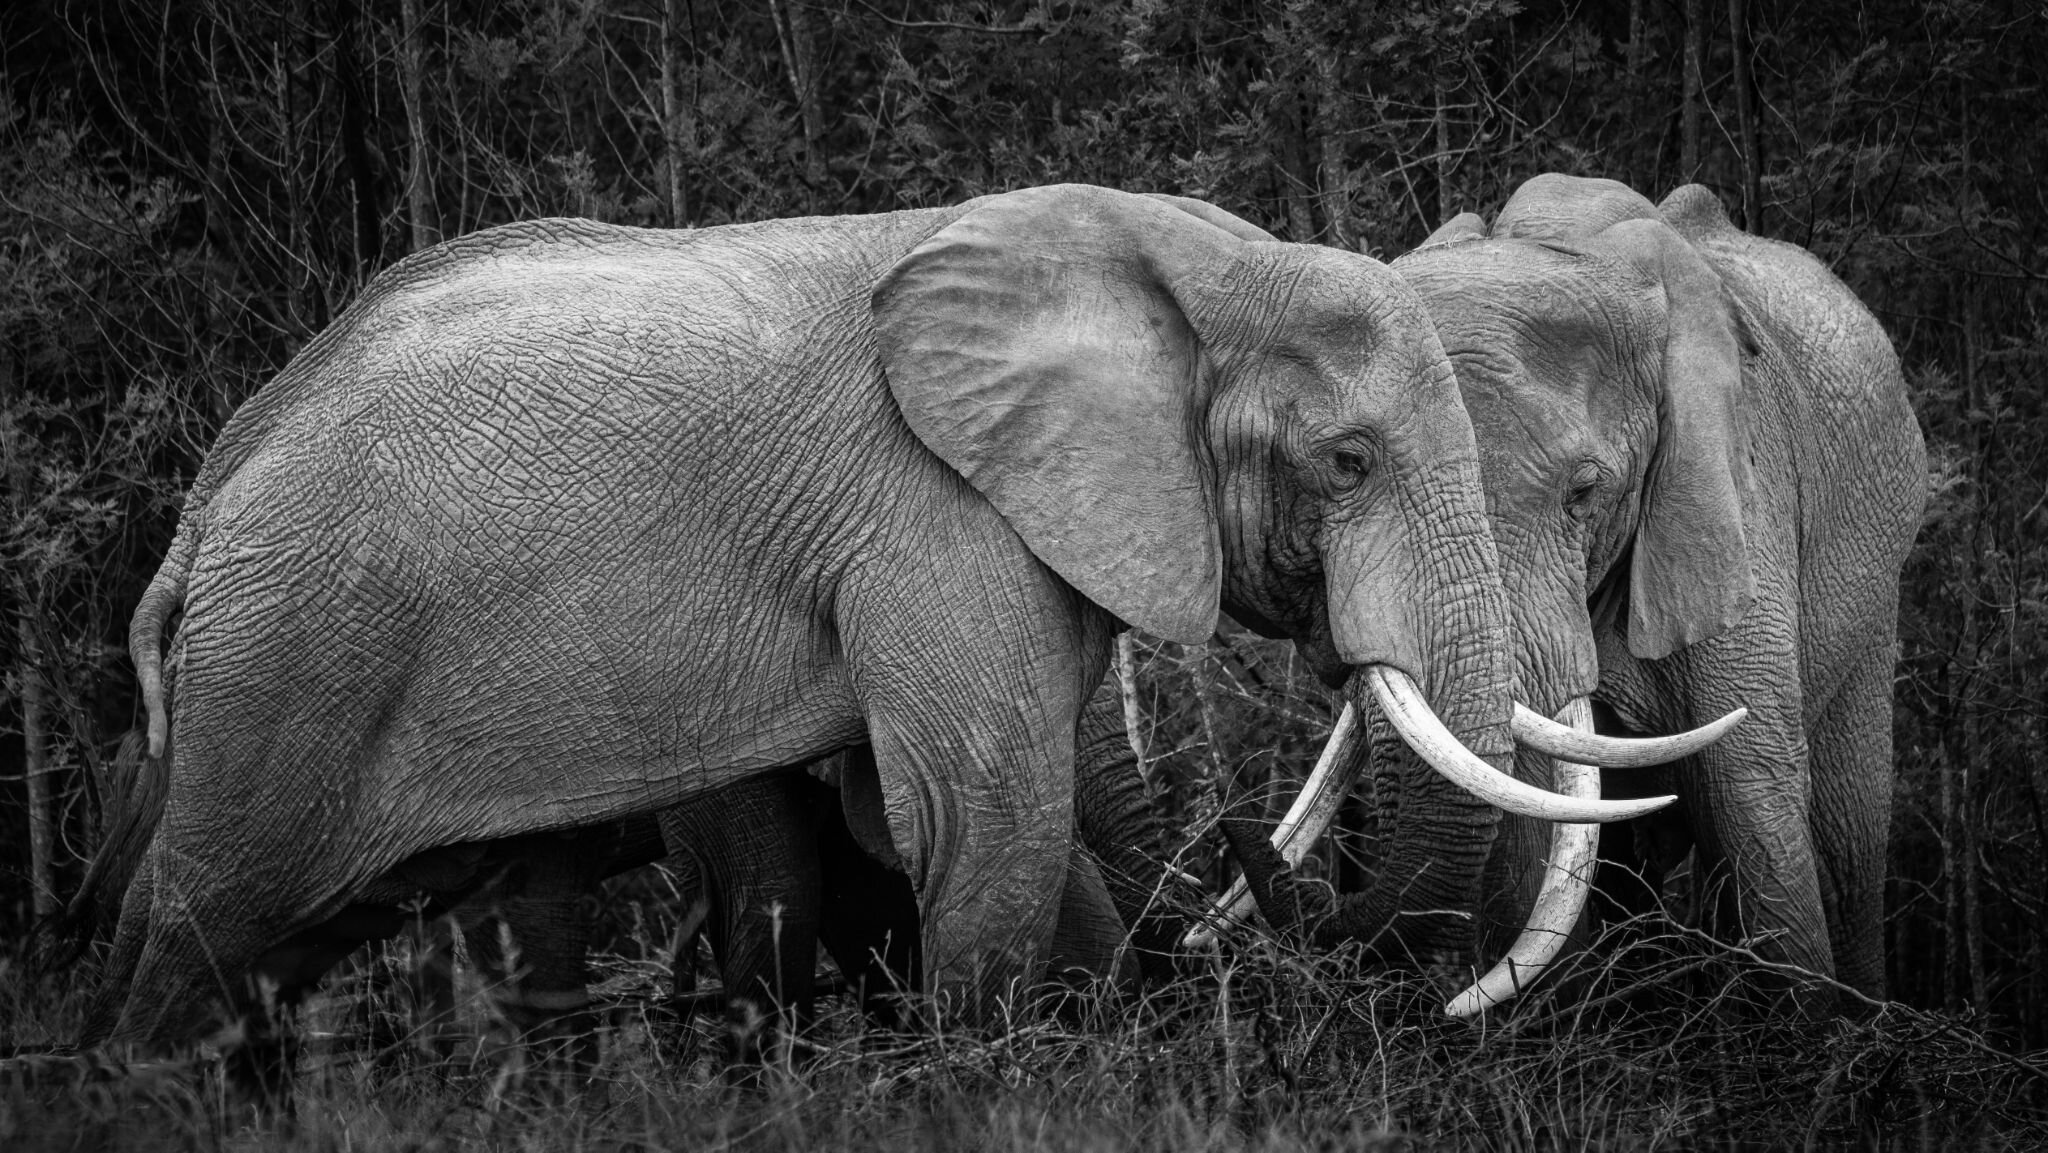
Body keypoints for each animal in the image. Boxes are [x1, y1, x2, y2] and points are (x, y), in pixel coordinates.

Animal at [64, 182, 1679, 1081]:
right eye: (1347, 462)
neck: (1187, 258)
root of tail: (205, 508)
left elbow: (982, 825)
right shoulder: (930, 516)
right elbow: (983, 810)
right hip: (292, 658)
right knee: (202, 942)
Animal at [1359, 176, 1916, 1015]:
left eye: (1583, 493)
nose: (1443, 1005)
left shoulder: (1732, 493)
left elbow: (1750, 788)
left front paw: (1806, 1034)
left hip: (1876, 580)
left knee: (1849, 839)